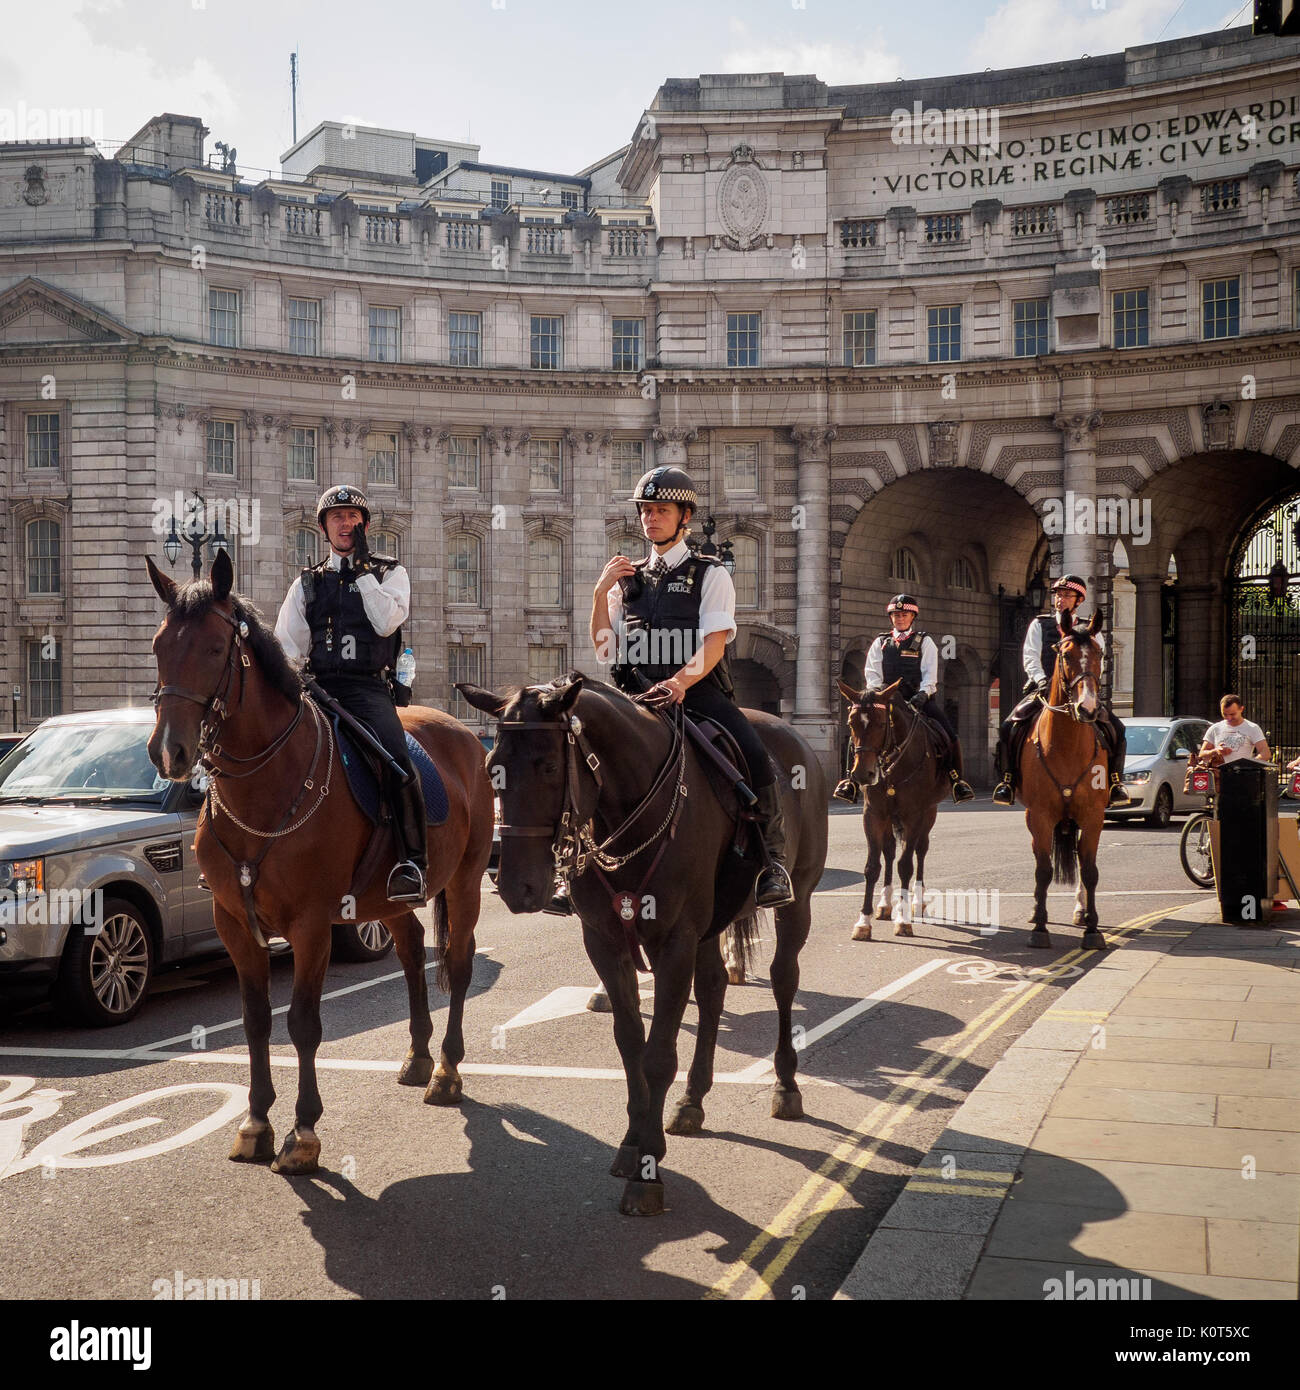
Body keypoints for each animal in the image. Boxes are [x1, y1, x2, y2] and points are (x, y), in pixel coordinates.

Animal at [144, 553, 494, 1173]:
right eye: (160, 645)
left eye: (214, 648)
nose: (169, 752)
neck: (264, 786)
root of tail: (466, 734)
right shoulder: (234, 924)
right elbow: (257, 1020)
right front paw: (256, 1121)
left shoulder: (310, 924)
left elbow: (303, 1023)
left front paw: (303, 1132)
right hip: (389, 896)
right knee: (411, 954)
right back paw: (418, 1055)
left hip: (467, 881)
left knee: (456, 962)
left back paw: (448, 1070)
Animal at [458, 672, 828, 1217]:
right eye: (490, 769)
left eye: (548, 765)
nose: (515, 887)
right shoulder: (605, 941)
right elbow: (631, 1041)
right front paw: (633, 1142)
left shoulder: (673, 943)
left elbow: (658, 1055)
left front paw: (648, 1171)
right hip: (709, 929)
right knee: (713, 989)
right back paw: (693, 1100)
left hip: (795, 902)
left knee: (784, 981)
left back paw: (785, 1085)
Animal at [839, 675, 951, 939]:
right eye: (851, 723)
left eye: (881, 724)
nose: (863, 774)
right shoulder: (873, 813)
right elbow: (873, 866)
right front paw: (864, 921)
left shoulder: (915, 814)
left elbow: (906, 865)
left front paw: (903, 919)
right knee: (889, 850)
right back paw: (885, 903)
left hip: (929, 812)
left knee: (920, 849)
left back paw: (916, 901)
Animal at [1017, 611, 1106, 956]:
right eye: (1065, 655)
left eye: (1100, 654)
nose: (1088, 708)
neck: (1066, 744)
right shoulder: (1039, 816)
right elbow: (1043, 870)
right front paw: (1040, 928)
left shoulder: (1093, 816)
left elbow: (1090, 870)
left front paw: (1093, 929)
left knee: (1082, 862)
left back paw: (1082, 911)